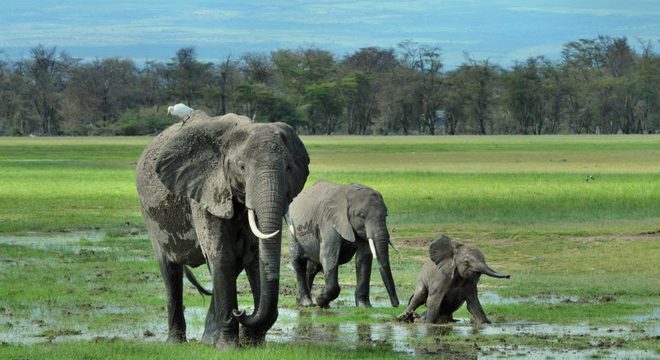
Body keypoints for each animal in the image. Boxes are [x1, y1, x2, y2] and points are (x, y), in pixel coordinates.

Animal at [136, 111, 310, 348]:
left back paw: (209, 339)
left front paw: (252, 343)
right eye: (242, 167)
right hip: (152, 218)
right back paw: (176, 343)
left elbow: (254, 257)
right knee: (170, 270)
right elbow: (222, 256)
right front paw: (229, 347)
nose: (242, 311)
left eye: (289, 168)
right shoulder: (206, 191)